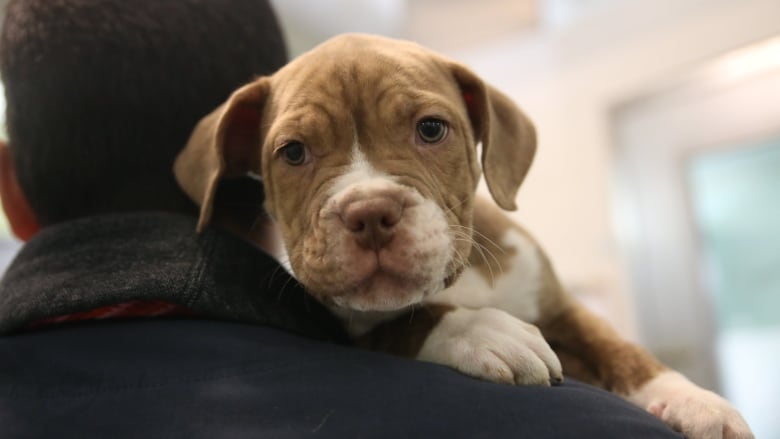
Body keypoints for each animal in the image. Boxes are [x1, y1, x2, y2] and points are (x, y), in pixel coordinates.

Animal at [175, 32, 748, 438]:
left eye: (431, 129)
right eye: (293, 152)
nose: (369, 212)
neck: (460, 279)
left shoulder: (560, 305)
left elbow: (614, 343)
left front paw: (692, 399)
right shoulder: (347, 328)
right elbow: (406, 322)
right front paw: (480, 329)